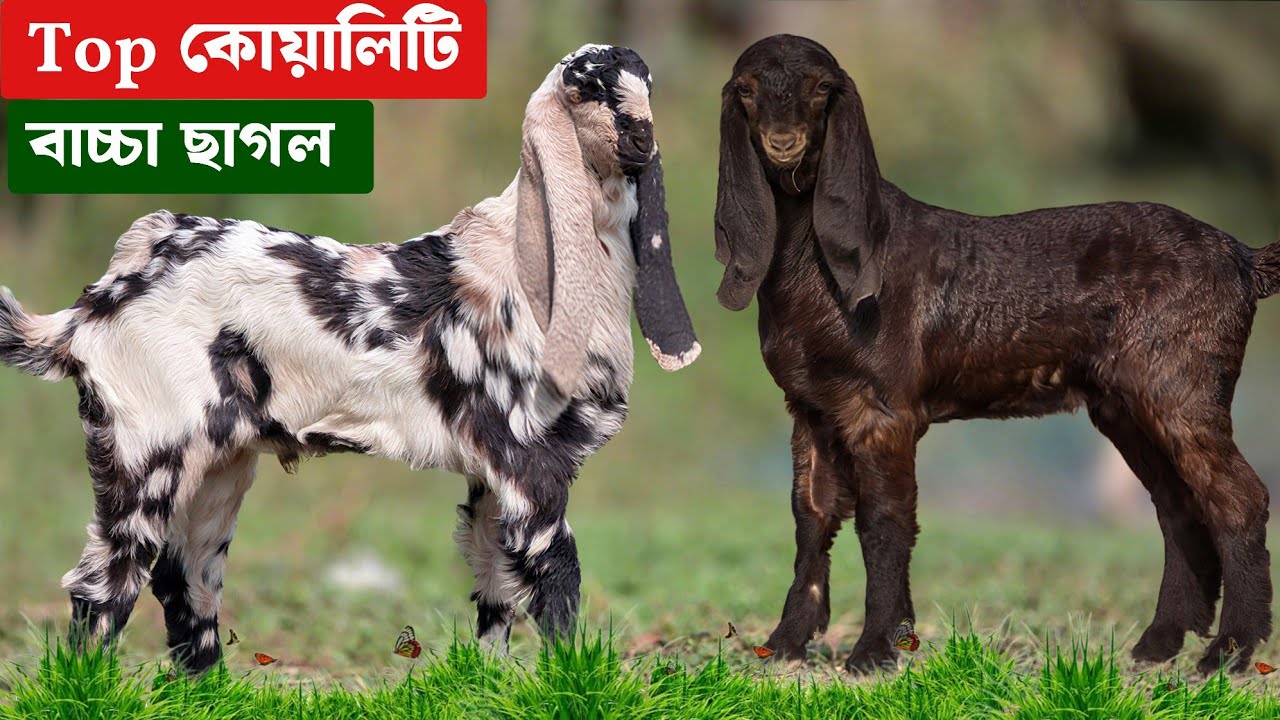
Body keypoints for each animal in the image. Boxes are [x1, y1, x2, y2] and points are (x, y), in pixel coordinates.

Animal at [0, 44, 699, 674]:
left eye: (645, 85)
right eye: (587, 90)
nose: (642, 138)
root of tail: (94, 305)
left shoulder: (492, 474)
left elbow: (495, 585)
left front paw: (492, 685)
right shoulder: (532, 465)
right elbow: (557, 583)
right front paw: (572, 683)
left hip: (220, 465)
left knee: (185, 579)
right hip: (147, 459)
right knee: (104, 586)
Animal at [715, 34, 1279, 675]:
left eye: (819, 89)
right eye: (747, 91)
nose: (783, 143)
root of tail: (1243, 258)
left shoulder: (884, 409)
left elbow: (884, 522)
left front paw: (876, 648)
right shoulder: (809, 406)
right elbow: (810, 515)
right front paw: (784, 642)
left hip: (1182, 385)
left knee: (1238, 498)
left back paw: (1229, 651)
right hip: (1125, 404)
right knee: (1177, 505)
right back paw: (1157, 645)